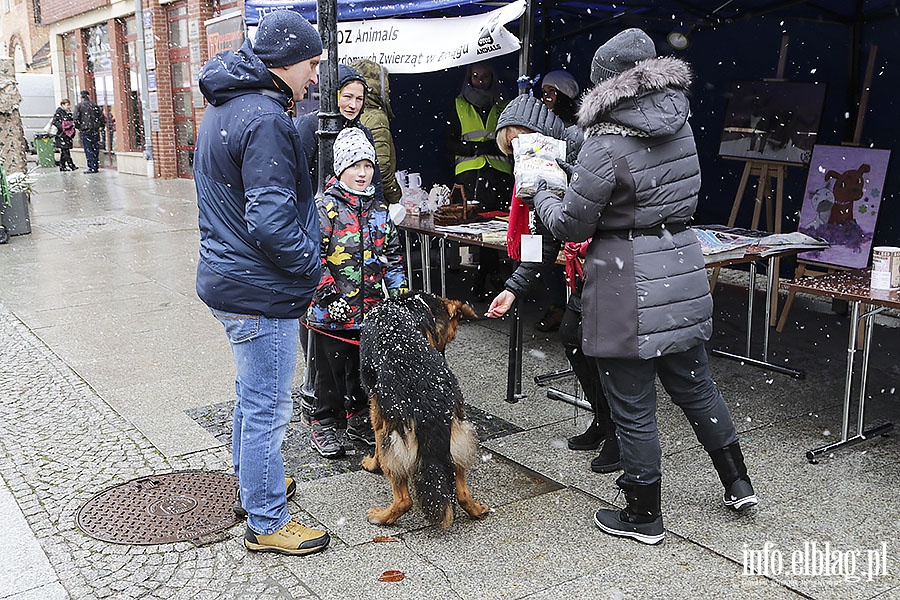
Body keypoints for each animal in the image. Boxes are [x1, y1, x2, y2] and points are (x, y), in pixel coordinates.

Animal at [358, 292, 488, 528]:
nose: (441, 354)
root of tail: (430, 399)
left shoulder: (375, 410)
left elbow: (376, 447)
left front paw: (372, 464)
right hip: (457, 438)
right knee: (461, 492)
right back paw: (476, 510)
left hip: (391, 439)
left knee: (404, 500)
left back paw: (381, 517)